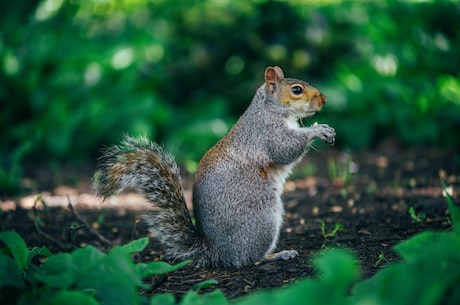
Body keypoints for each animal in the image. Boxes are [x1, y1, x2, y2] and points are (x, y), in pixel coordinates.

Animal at [93, 65, 336, 268]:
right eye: (296, 90)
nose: (324, 99)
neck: (271, 108)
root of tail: (216, 253)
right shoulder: (267, 132)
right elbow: (286, 149)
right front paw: (317, 130)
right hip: (262, 217)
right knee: (248, 259)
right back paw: (277, 255)